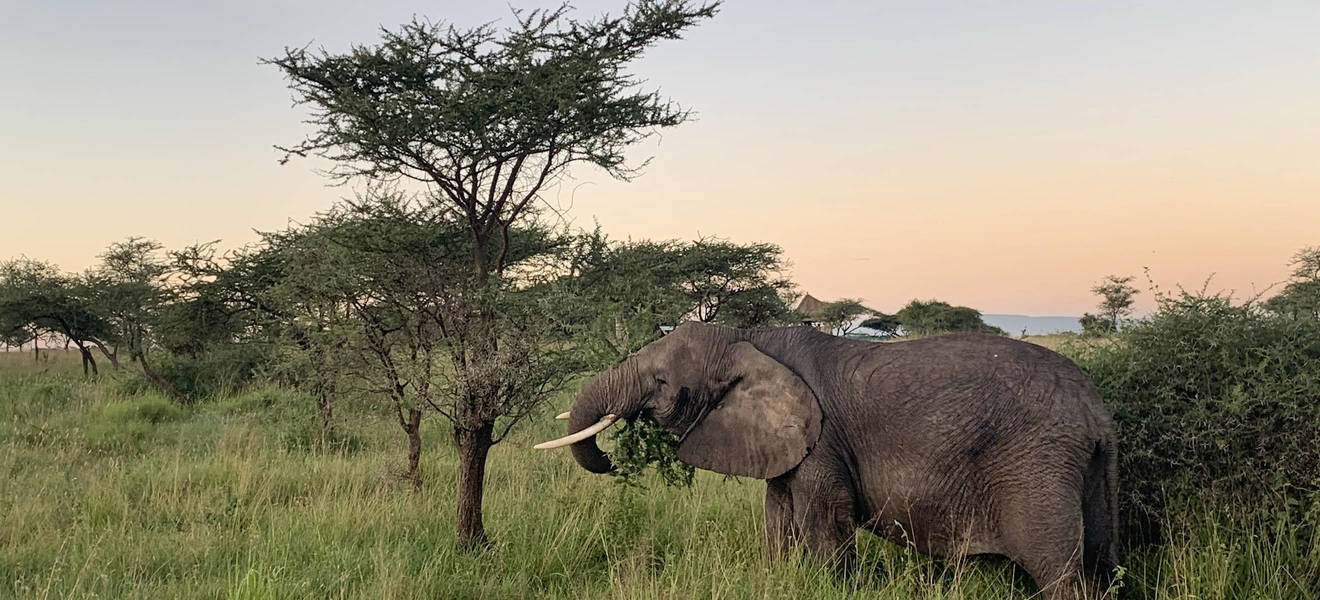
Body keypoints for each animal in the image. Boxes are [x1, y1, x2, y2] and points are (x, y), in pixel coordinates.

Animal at [535, 322, 1119, 599]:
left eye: (663, 385)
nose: (611, 461)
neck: (751, 338)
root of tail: (1099, 413)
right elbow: (777, 517)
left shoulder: (825, 441)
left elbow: (823, 521)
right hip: (1081, 470)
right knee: (1097, 567)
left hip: (1037, 465)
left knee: (1058, 571)